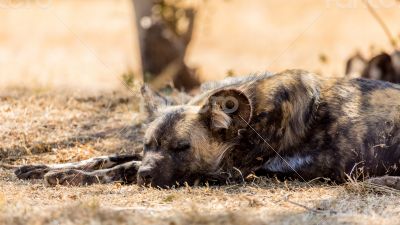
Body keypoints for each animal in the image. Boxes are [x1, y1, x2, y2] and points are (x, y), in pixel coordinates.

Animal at [14, 69, 400, 189]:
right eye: (150, 144)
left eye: (182, 148)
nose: (146, 176)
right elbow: (112, 156)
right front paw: (40, 167)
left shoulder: (228, 174)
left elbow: (123, 167)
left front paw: (69, 177)